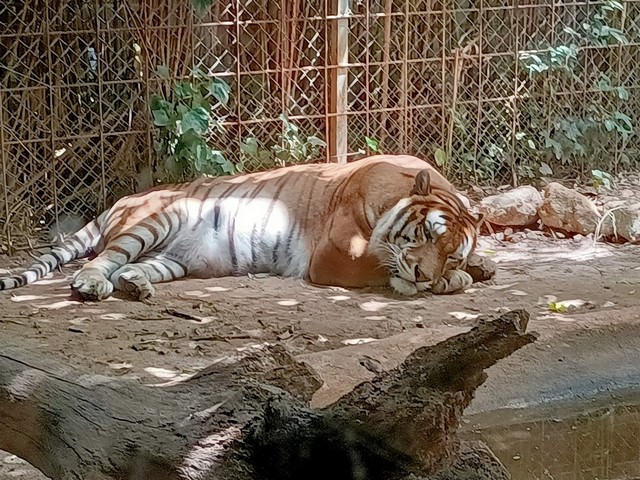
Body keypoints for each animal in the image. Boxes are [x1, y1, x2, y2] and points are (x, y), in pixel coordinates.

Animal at [0, 156, 484, 302]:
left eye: (451, 253)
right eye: (427, 235)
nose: (424, 273)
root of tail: (120, 201)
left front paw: (468, 272)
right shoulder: (336, 255)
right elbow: (383, 266)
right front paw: (437, 282)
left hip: (174, 259)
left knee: (129, 268)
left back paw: (136, 286)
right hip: (157, 219)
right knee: (104, 259)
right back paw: (90, 285)